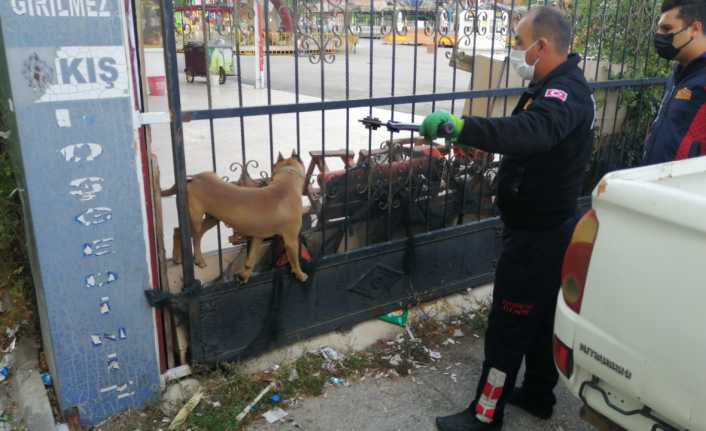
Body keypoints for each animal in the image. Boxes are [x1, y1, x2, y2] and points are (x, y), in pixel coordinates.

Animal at [166, 152, 310, 284]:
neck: (286, 182)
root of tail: (195, 177)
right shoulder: (291, 240)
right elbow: (294, 260)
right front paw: (300, 274)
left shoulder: (258, 237)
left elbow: (251, 259)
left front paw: (244, 275)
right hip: (194, 219)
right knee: (192, 236)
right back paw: (197, 260)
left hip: (211, 219)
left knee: (182, 231)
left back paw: (178, 258)